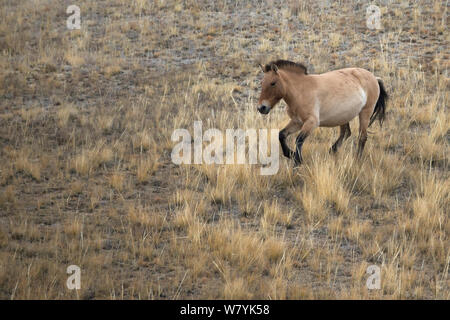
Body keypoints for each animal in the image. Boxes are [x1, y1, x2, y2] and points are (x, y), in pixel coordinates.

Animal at [256, 59, 386, 165]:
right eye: (261, 83)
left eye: (273, 83)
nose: (261, 108)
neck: (301, 91)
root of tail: (374, 78)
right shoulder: (297, 122)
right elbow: (281, 135)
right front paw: (291, 154)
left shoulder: (311, 123)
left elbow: (299, 140)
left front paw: (298, 162)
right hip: (343, 116)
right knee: (346, 133)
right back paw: (332, 151)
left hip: (365, 112)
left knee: (362, 137)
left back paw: (357, 160)